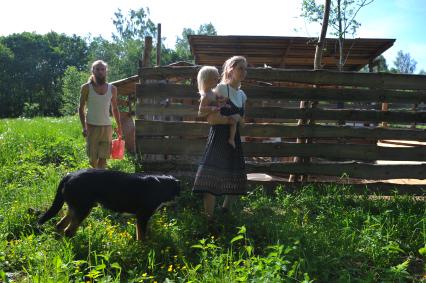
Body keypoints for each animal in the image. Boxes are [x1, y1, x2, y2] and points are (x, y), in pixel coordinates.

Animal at [38, 170, 180, 241]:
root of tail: (69, 175)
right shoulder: (142, 217)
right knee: (68, 231)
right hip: (83, 209)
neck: (159, 184)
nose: (178, 200)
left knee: (60, 225)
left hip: (75, 208)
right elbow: (141, 237)